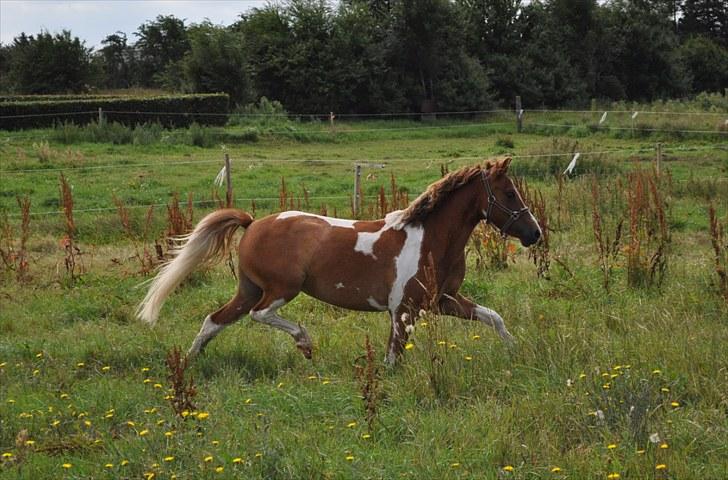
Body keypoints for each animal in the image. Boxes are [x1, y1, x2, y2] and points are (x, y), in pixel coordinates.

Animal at [139, 158, 544, 364]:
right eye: (509, 192)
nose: (534, 233)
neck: (430, 240)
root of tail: (253, 224)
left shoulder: (442, 300)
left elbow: (493, 317)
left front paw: (515, 350)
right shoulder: (404, 310)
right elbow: (393, 357)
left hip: (249, 288)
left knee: (215, 319)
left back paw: (191, 361)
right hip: (282, 288)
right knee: (260, 315)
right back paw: (304, 343)